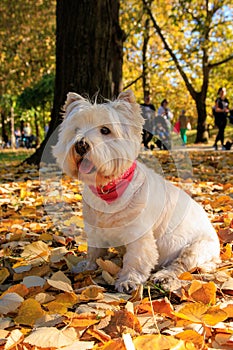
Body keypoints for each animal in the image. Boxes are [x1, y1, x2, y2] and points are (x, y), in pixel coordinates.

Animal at [53, 90, 220, 292]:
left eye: (105, 130)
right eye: (76, 129)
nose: (81, 144)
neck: (108, 189)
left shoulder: (138, 235)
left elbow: (136, 259)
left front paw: (128, 280)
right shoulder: (94, 229)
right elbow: (94, 251)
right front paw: (87, 266)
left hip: (195, 248)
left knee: (180, 265)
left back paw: (163, 277)